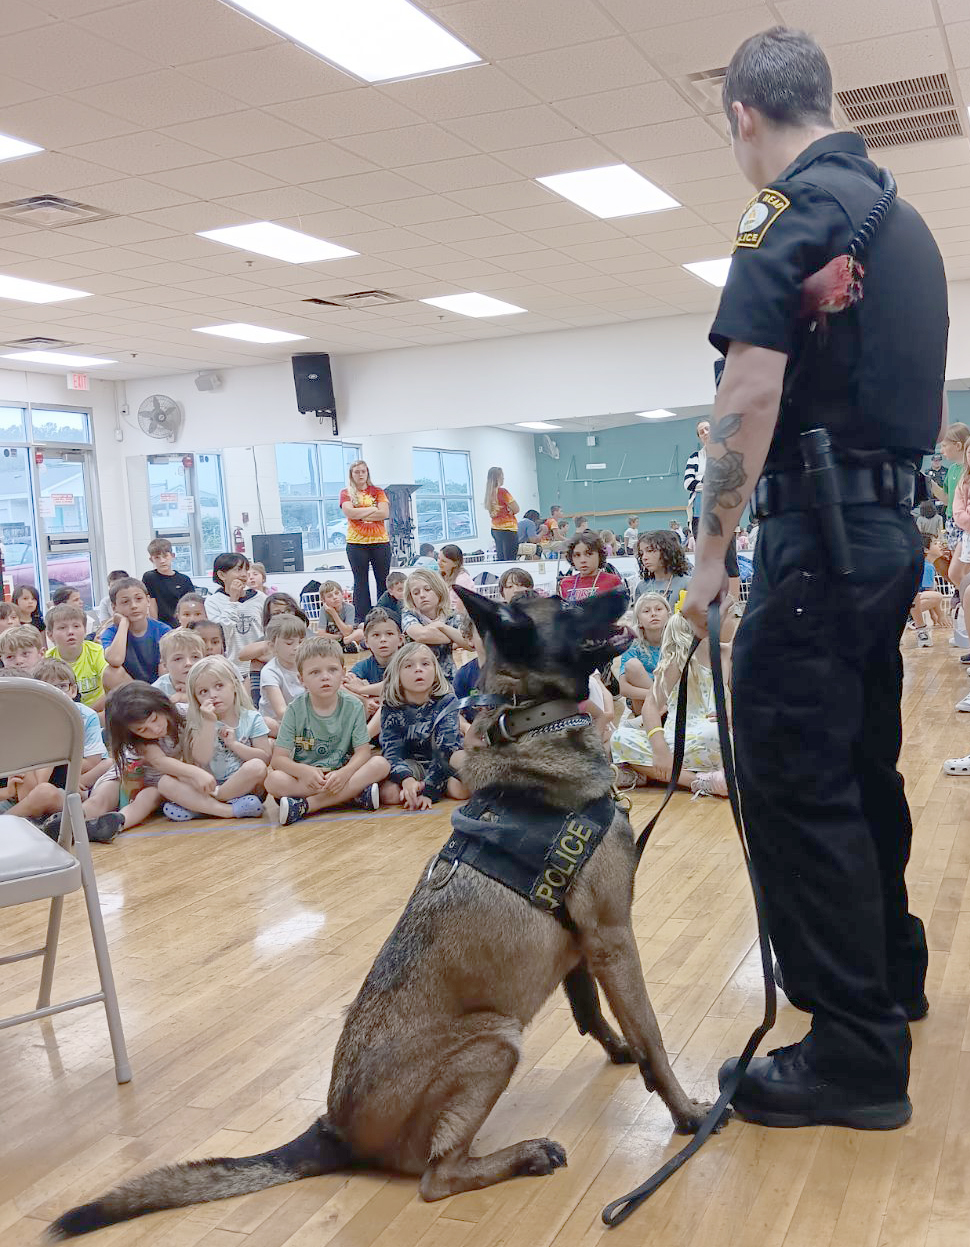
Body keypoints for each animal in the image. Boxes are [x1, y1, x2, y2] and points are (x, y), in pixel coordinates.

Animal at [52, 586, 718, 1237]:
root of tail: (332, 1128)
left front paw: (620, 1051)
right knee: (437, 1177)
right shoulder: (612, 939)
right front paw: (688, 1114)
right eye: (570, 606)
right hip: (495, 1041)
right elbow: (654, 1038)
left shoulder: (580, 945)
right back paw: (525, 1155)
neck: (530, 721)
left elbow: (592, 1014)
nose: (628, 587)